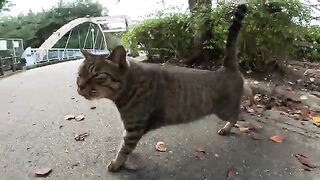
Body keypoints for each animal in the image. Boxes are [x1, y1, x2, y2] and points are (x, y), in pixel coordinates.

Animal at [77, 4, 248, 172]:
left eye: (97, 74)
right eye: (79, 74)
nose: (79, 86)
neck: (130, 85)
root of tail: (226, 68)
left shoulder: (134, 127)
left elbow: (124, 148)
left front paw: (117, 163)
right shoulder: (131, 127)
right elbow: (125, 145)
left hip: (224, 110)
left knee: (236, 116)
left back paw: (227, 127)